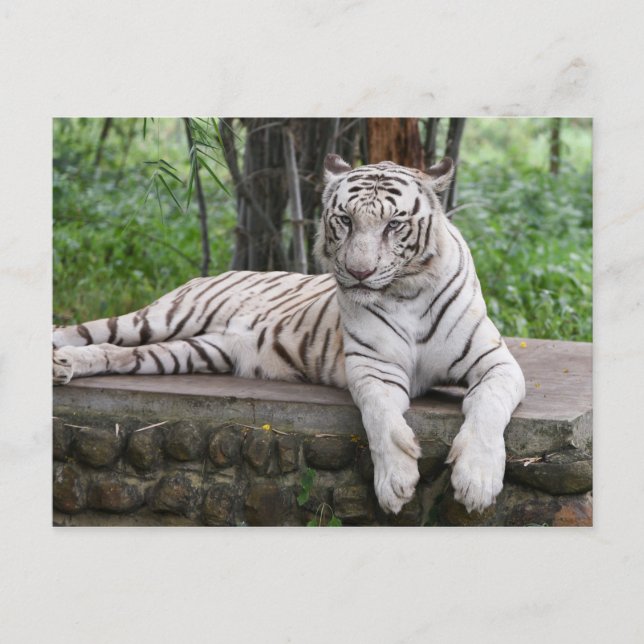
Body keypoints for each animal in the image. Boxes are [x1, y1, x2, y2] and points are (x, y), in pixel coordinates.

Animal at [53, 154, 526, 515]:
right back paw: (59, 359)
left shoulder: (495, 362)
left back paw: (65, 366)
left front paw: (477, 481)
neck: (405, 292)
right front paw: (395, 482)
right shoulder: (374, 366)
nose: (358, 272)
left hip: (197, 351)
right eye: (344, 220)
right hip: (162, 317)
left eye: (394, 225)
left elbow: (487, 408)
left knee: (115, 353)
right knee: (86, 331)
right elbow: (381, 418)